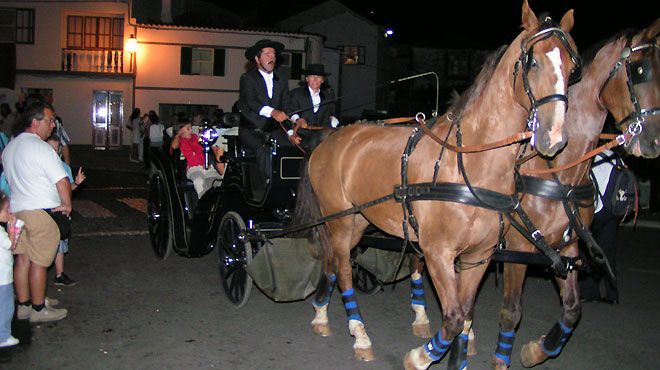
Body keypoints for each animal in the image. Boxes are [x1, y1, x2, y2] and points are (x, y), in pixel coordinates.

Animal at [294, 1, 576, 368]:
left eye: (572, 68)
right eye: (533, 62)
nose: (553, 137)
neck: (470, 165)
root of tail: (330, 136)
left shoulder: (478, 257)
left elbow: (466, 314)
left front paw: (457, 358)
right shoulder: (437, 253)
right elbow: (453, 317)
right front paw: (420, 356)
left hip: (357, 221)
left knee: (331, 261)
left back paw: (321, 315)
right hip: (339, 220)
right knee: (343, 269)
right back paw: (360, 334)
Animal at [488, 21, 656, 370]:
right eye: (638, 70)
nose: (653, 141)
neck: (558, 172)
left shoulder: (567, 246)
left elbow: (572, 308)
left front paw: (537, 349)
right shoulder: (518, 246)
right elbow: (511, 311)